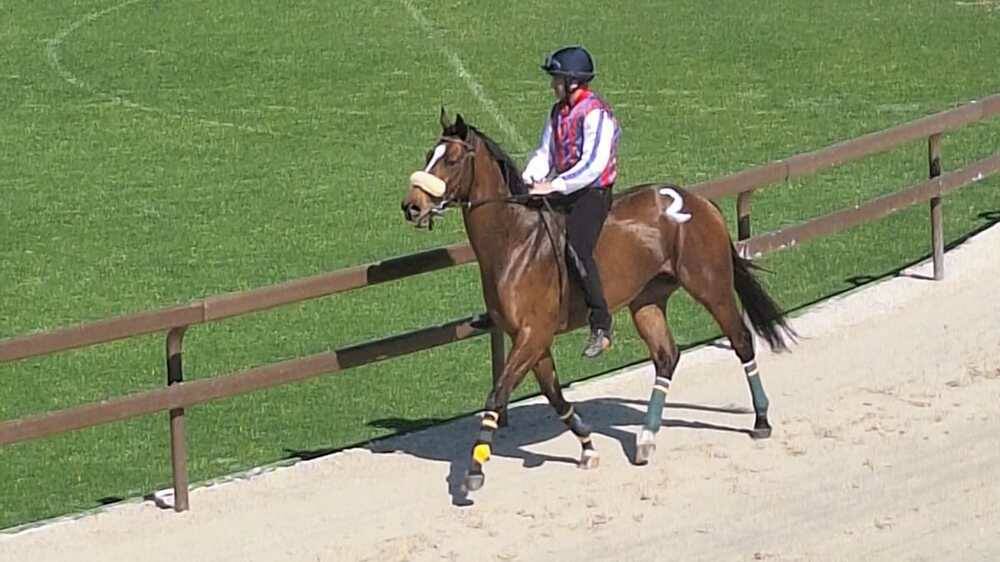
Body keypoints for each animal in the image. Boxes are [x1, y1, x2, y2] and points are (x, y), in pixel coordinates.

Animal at [398, 110, 796, 490]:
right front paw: (587, 446)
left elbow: (497, 396)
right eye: (428, 155)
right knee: (667, 356)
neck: (516, 241)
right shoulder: (530, 338)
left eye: (451, 159)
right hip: (647, 301)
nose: (411, 206)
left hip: (711, 286)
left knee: (741, 341)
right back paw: (646, 438)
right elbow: (554, 395)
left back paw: (761, 419)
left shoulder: (532, 334)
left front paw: (475, 469)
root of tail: (698, 201)